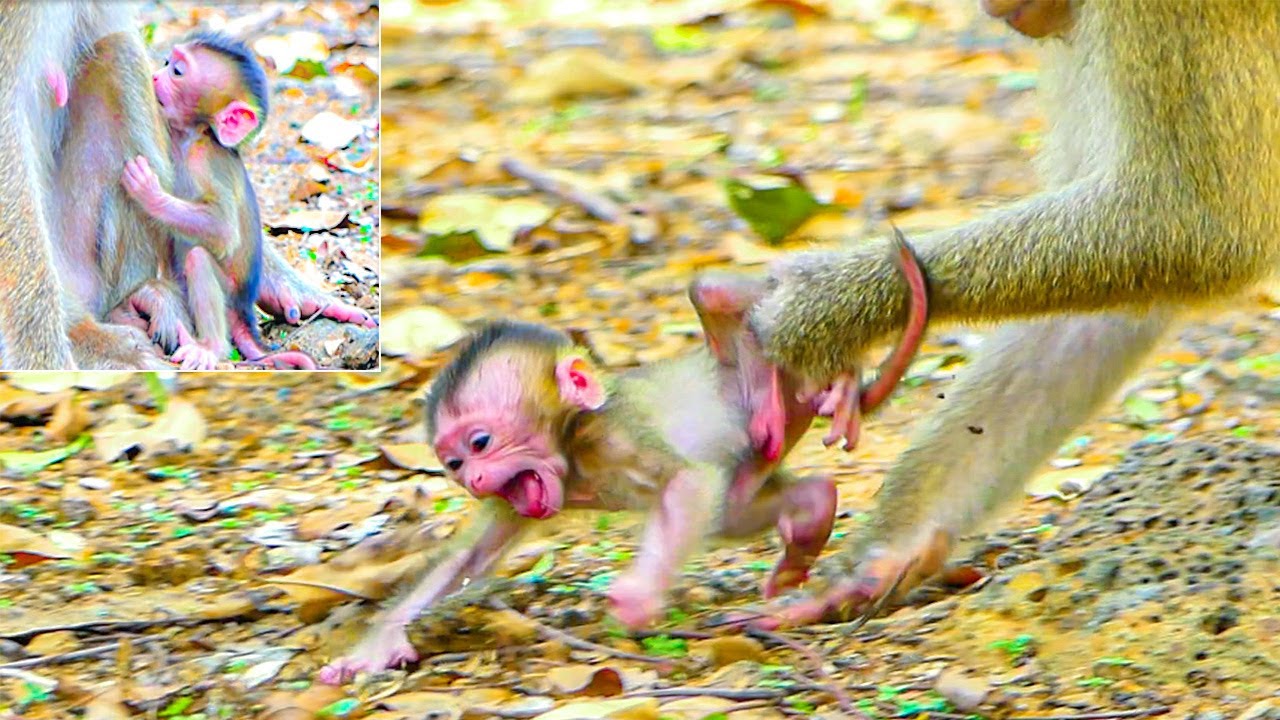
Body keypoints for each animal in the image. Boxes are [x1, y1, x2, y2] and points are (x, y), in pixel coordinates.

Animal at [119, 32, 315, 370]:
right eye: (167, 63)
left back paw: (209, 348)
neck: (191, 136)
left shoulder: (208, 165)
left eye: (177, 72)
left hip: (229, 295)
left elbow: (223, 231)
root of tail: (243, 310)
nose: (155, 76)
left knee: (198, 259)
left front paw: (149, 194)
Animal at [317, 241, 927, 683]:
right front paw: (374, 646)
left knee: (716, 294)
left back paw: (824, 383)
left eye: (481, 443)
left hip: (783, 360)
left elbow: (685, 482)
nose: (474, 480)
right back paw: (813, 509)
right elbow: (468, 557)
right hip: (750, 468)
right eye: (452, 463)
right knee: (737, 509)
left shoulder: (615, 436)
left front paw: (635, 600)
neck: (574, 449)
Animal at [729, 0, 1280, 627]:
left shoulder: (1166, 15)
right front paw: (885, 549)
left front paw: (825, 307)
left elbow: (1196, 229)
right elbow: (1105, 309)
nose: (990, 8)